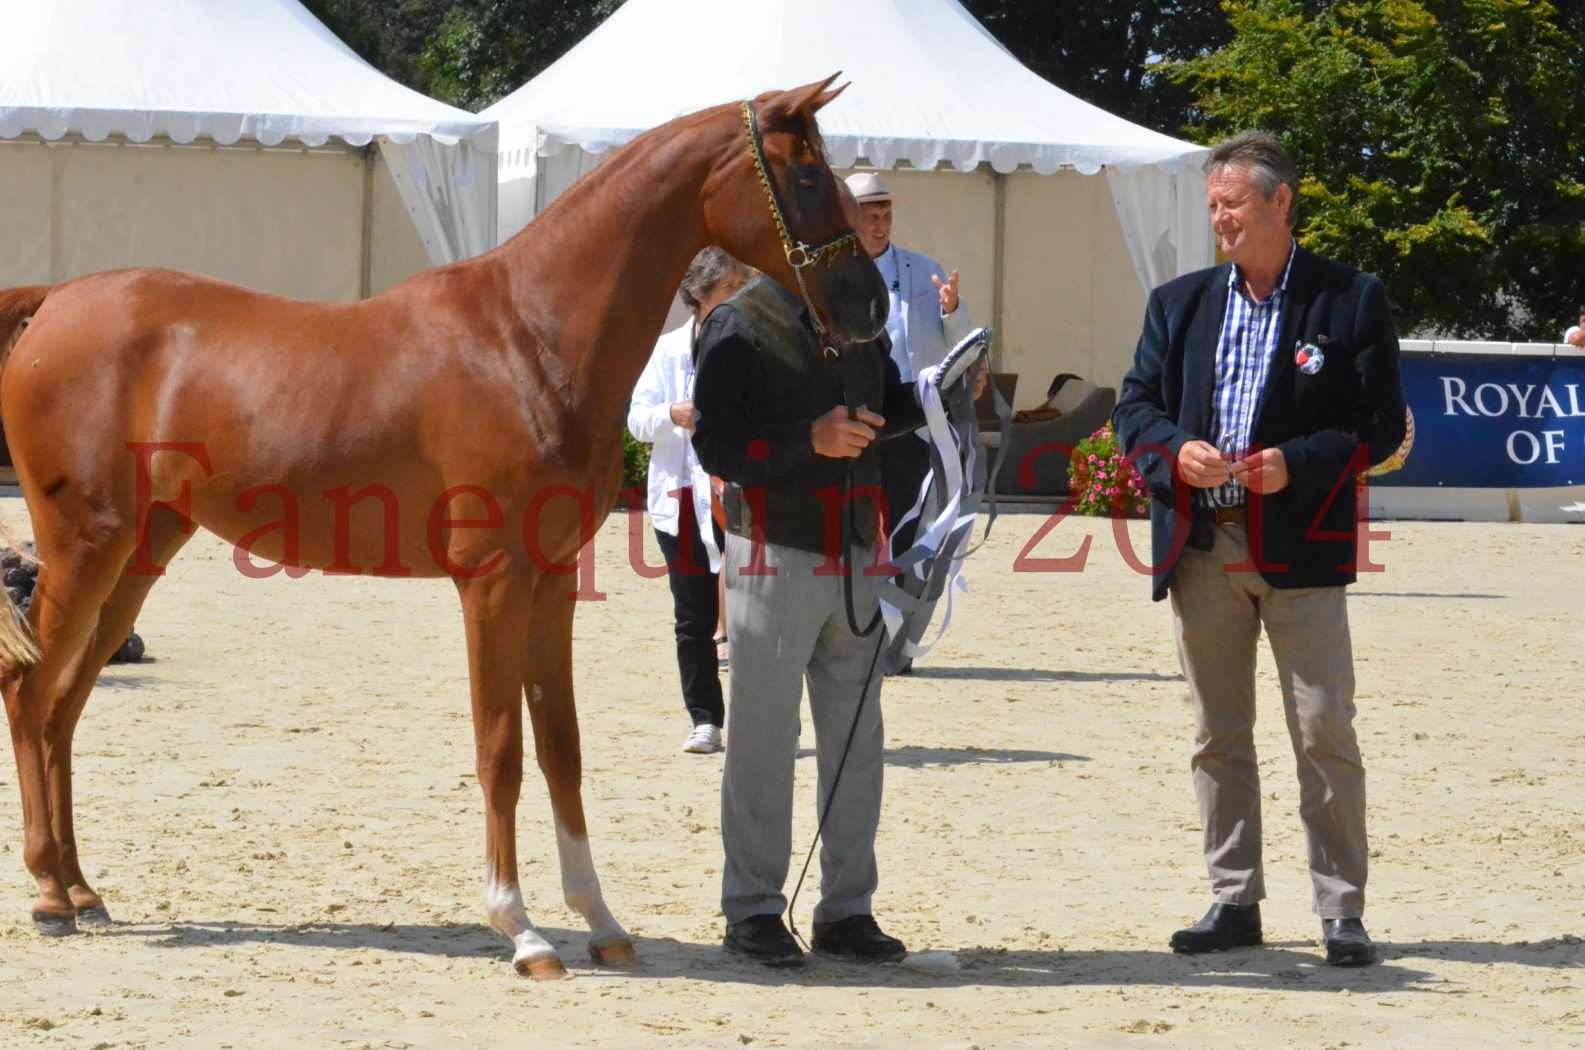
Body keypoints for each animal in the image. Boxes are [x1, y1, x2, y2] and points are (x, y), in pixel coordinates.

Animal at [0, 78, 887, 983]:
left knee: (65, 704)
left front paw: (599, 921)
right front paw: (521, 931)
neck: (529, 338)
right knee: (30, 692)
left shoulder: (551, 581)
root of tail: (53, 303)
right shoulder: (491, 582)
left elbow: (560, 746)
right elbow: (500, 748)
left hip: (140, 554)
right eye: (806, 172)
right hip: (81, 547)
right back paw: (47, 896)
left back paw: (81, 889)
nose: (869, 303)